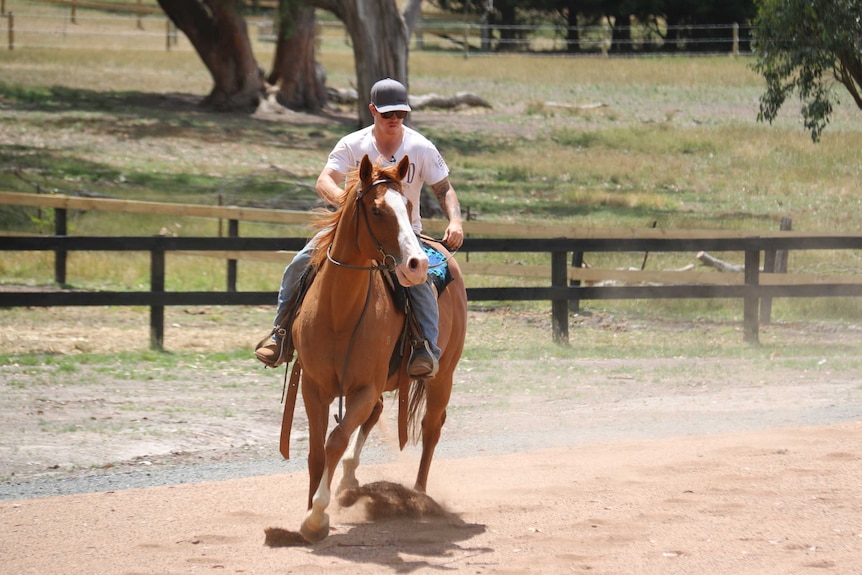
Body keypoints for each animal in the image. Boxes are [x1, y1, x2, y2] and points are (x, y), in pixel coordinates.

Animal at [288, 153, 466, 544]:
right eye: (376, 209)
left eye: (409, 206)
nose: (416, 265)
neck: (338, 312)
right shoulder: (313, 386)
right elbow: (316, 451)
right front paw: (309, 510)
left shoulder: (364, 387)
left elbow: (335, 440)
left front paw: (316, 516)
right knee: (377, 415)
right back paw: (349, 482)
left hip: (443, 376)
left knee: (431, 427)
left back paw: (419, 495)